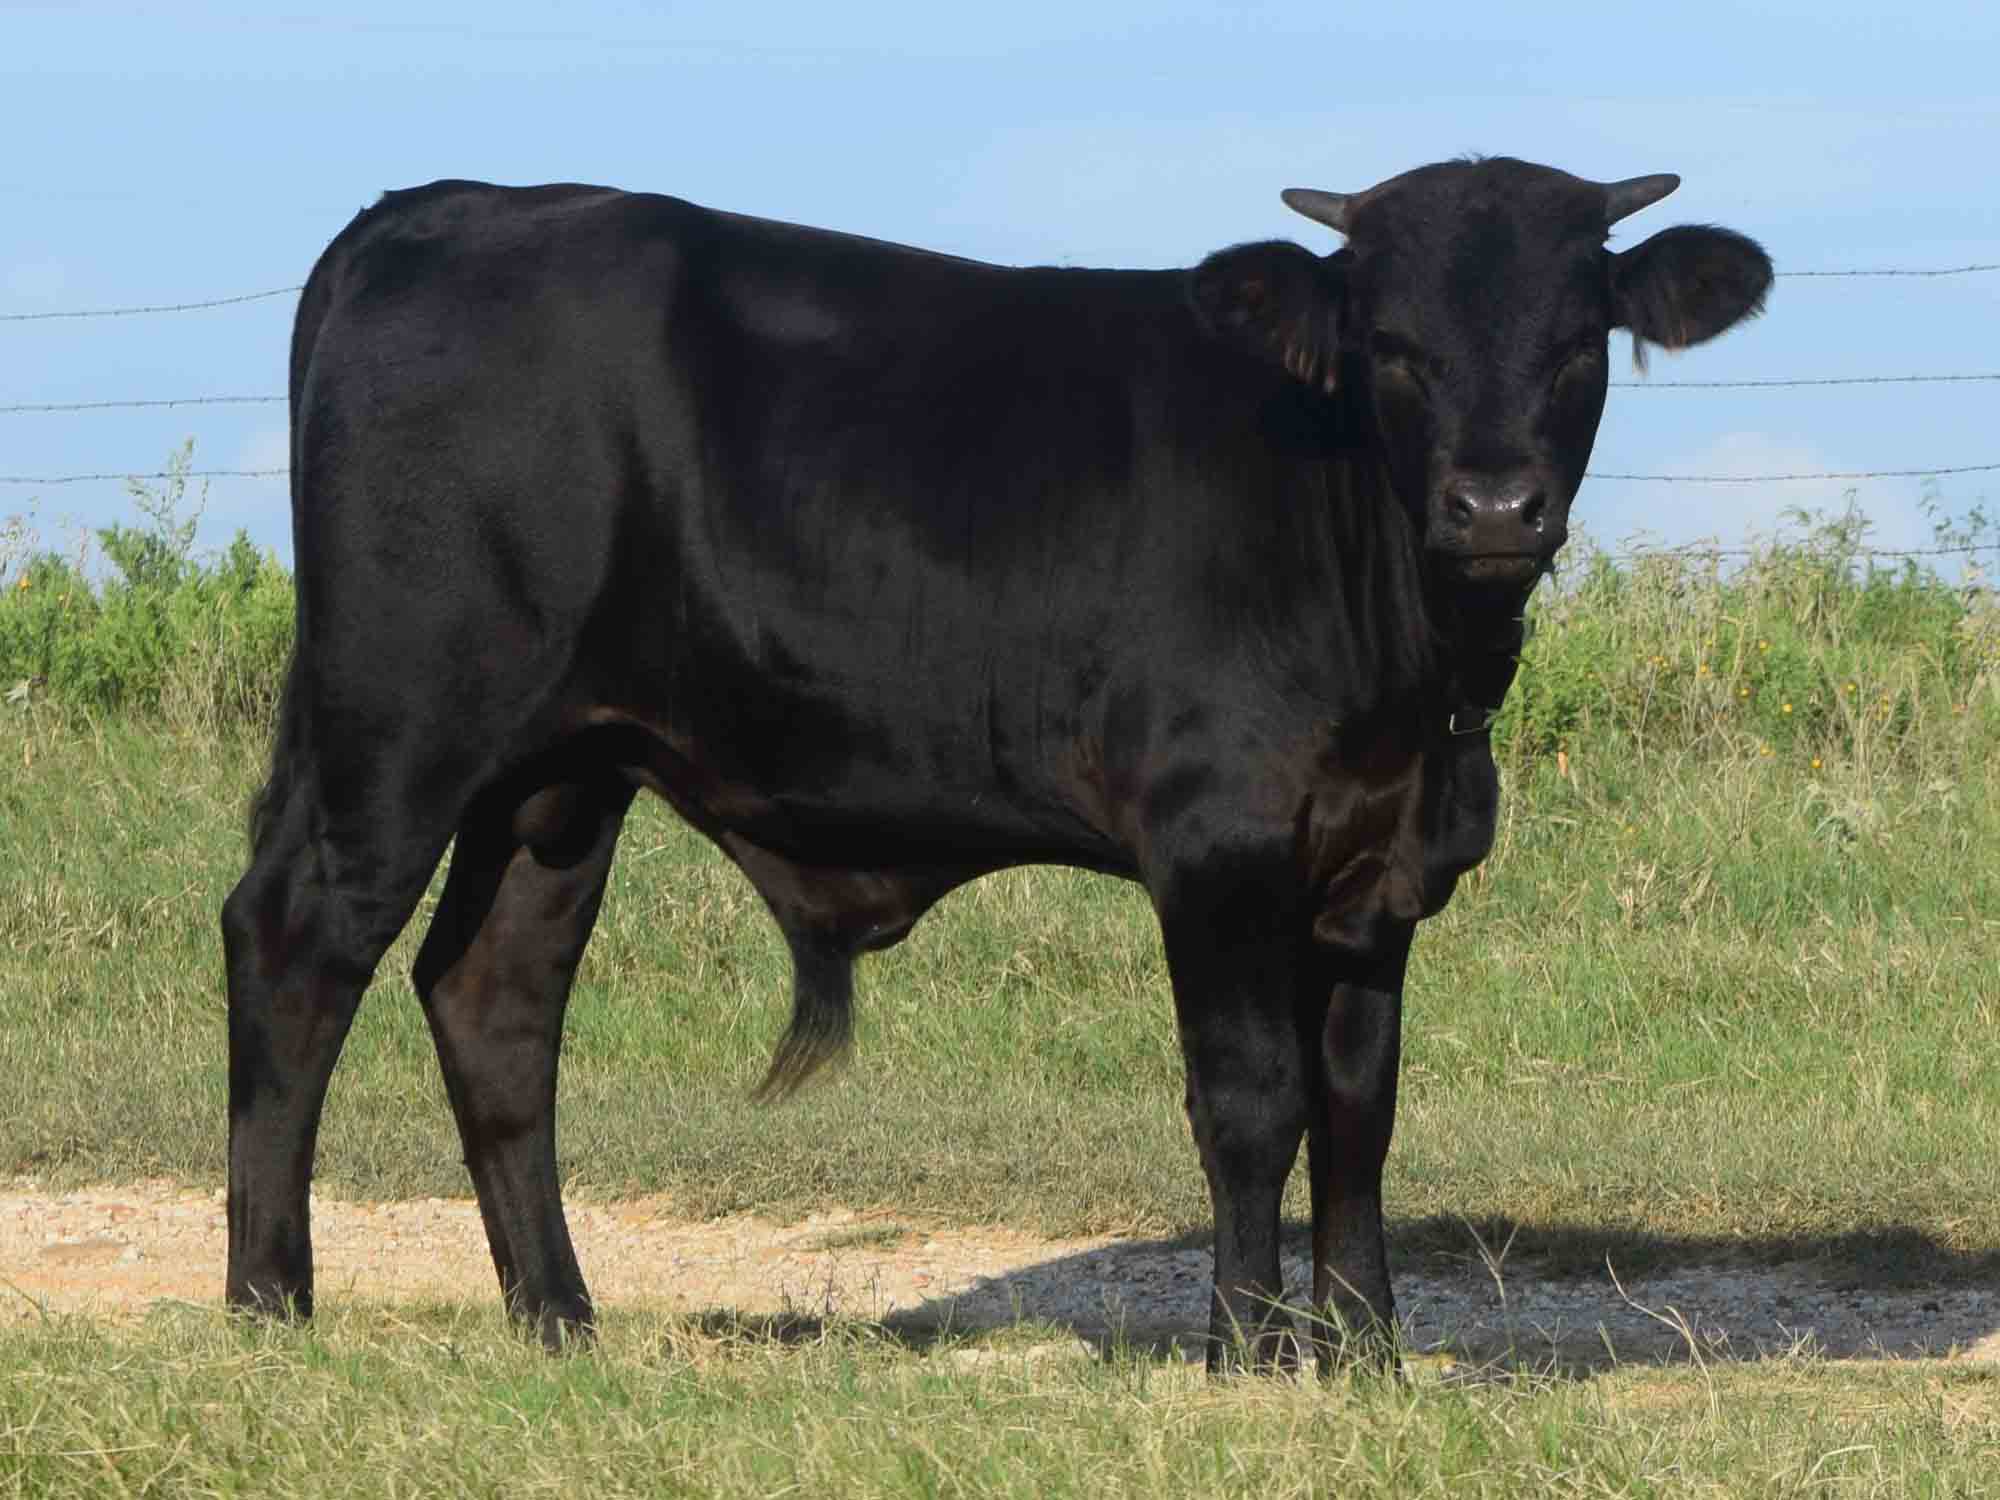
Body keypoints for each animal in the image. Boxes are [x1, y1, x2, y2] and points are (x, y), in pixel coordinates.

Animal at [222, 157, 1770, 1370]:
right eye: (1392, 344)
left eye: (1578, 339)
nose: (1493, 504)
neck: (1414, 666)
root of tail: (445, 206)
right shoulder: (1216, 847)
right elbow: (1251, 1103)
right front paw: (1249, 1350)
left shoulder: (1377, 871)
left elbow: (1358, 1113)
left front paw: (1369, 1353)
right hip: (401, 721)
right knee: (296, 944)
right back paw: (269, 1304)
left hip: (562, 771)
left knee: (493, 997)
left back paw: (559, 1320)